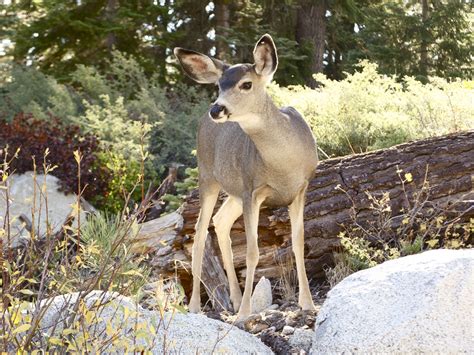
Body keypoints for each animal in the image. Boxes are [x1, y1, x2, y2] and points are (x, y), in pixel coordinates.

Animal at [174, 34, 318, 322]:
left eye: (246, 84)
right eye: (218, 85)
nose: (216, 109)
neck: (284, 164)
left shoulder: (300, 188)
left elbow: (298, 243)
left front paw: (308, 303)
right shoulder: (253, 190)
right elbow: (252, 252)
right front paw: (244, 315)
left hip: (235, 191)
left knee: (221, 221)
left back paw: (235, 298)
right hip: (208, 176)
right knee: (199, 235)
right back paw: (197, 306)